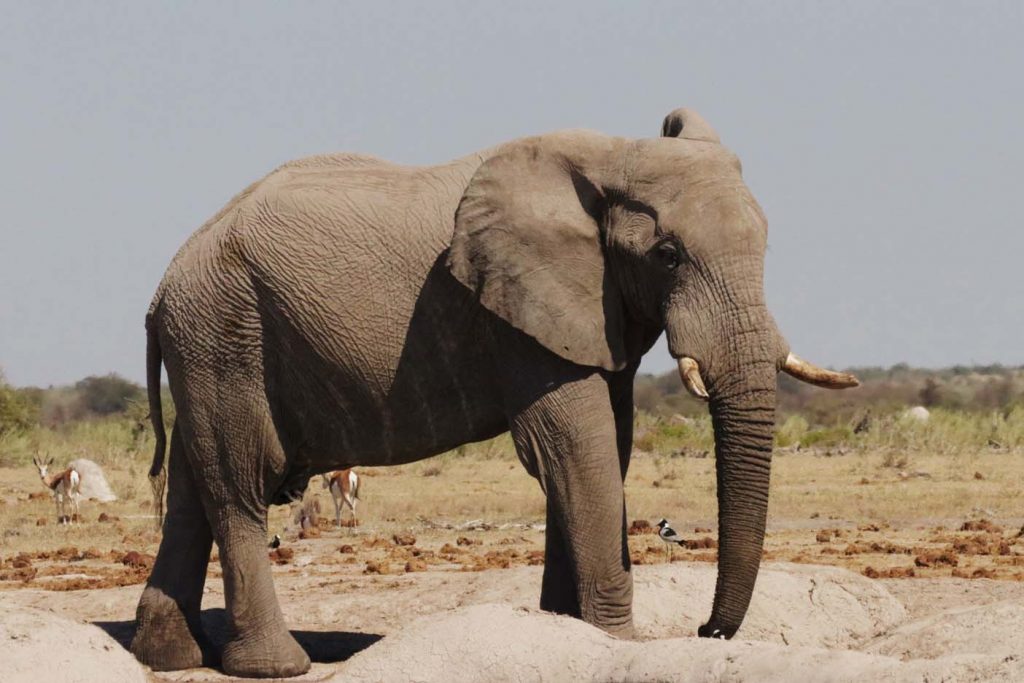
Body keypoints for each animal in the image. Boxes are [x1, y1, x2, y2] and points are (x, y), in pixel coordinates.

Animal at [132, 109, 860, 675]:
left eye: (766, 246)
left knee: (195, 486)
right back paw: (275, 666)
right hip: (226, 332)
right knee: (240, 483)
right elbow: (576, 446)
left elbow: (609, 445)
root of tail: (163, 287)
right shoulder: (516, 310)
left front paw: (567, 629)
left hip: (210, 342)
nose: (709, 630)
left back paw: (168, 658)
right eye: (669, 255)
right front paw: (614, 641)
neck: (611, 157)